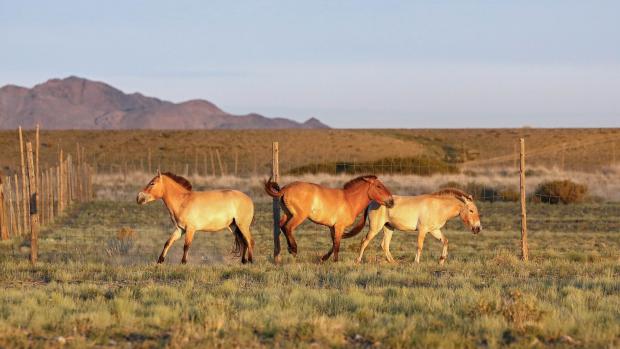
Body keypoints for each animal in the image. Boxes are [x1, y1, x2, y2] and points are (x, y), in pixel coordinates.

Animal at [264, 174, 394, 260]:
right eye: (378, 186)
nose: (391, 201)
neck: (349, 200)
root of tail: (285, 189)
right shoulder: (339, 226)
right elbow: (337, 245)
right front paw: (335, 261)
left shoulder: (332, 227)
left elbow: (334, 243)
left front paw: (324, 258)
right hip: (299, 216)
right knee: (288, 227)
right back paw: (294, 249)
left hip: (288, 214)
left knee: (281, 225)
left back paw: (289, 249)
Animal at [346, 188, 482, 264]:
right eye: (471, 210)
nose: (478, 228)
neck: (437, 207)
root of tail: (372, 202)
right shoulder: (423, 230)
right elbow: (419, 246)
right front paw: (416, 262)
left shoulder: (434, 230)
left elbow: (445, 241)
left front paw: (441, 260)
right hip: (375, 228)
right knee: (365, 241)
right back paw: (358, 261)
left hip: (388, 228)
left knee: (384, 245)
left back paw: (394, 262)